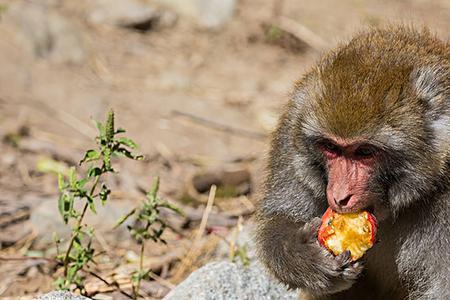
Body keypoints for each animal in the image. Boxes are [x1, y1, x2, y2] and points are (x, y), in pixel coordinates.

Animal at [255, 27, 448, 298]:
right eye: (331, 147)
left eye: (365, 151)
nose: (339, 196)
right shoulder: (290, 136)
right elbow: (277, 219)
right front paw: (303, 256)